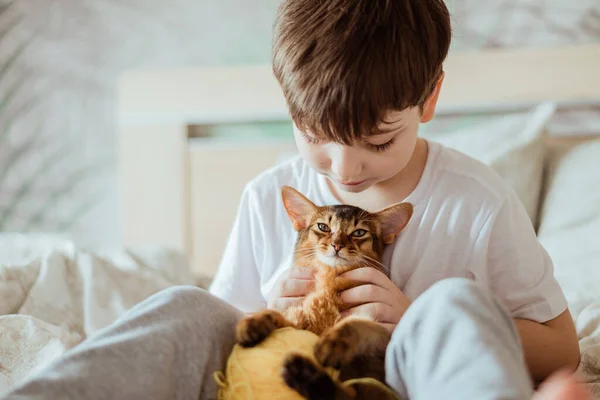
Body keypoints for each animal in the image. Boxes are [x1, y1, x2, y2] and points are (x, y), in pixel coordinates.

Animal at [234, 186, 412, 398]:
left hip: (372, 385)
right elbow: (276, 313)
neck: (329, 280)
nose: (337, 245)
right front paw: (253, 322)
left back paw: (304, 374)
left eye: (359, 232)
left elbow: (356, 324)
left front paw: (332, 343)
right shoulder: (298, 323)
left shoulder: (385, 342)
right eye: (323, 227)